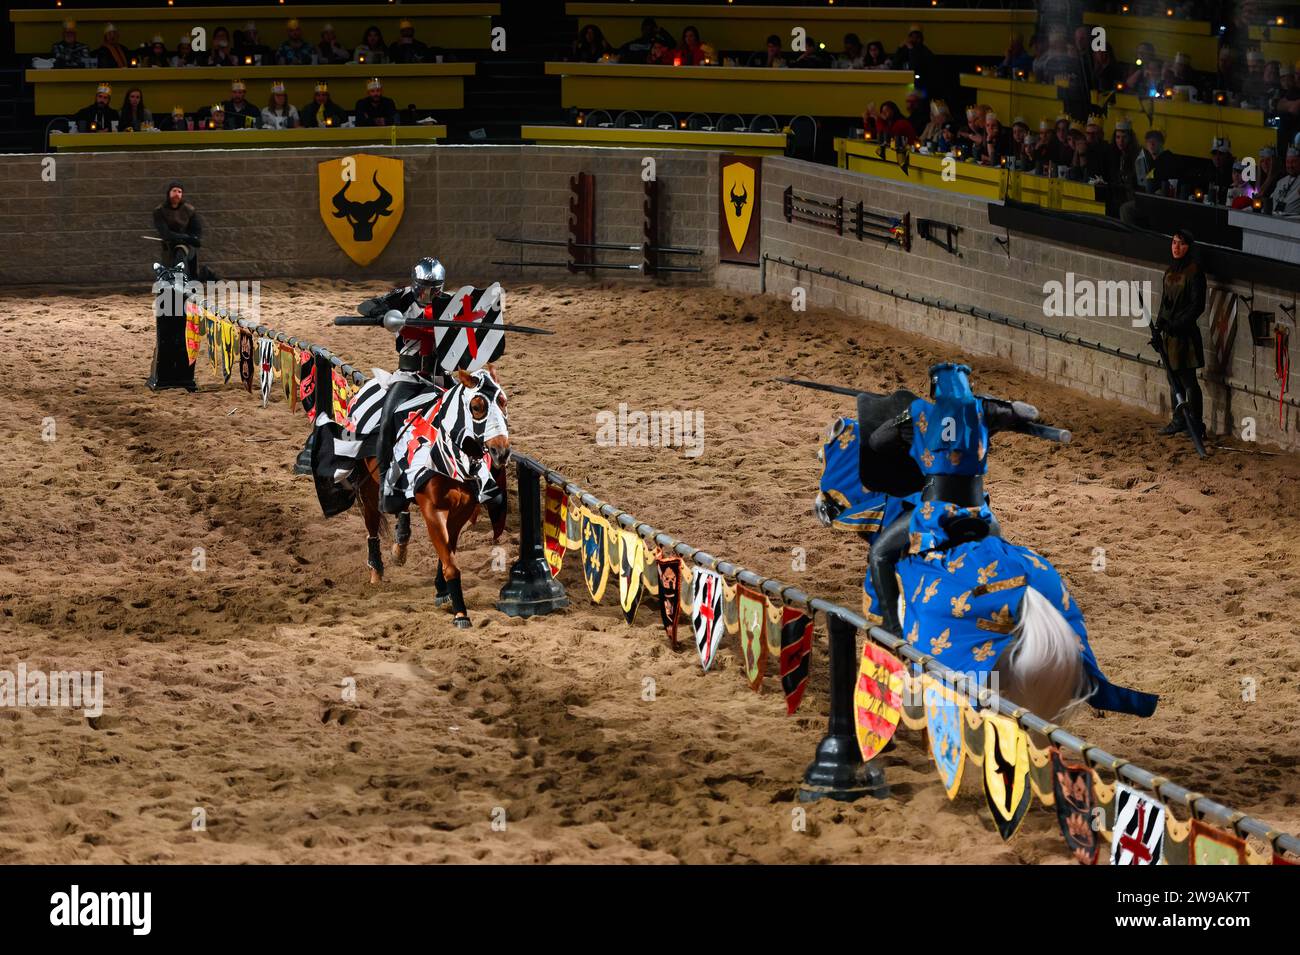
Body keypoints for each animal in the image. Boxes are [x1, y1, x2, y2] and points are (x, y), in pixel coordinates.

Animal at [353, 369, 509, 631]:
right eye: (477, 407)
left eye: (503, 402)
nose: (501, 451)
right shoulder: (432, 509)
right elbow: (451, 564)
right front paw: (460, 613)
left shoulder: (462, 509)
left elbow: (447, 552)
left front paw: (442, 590)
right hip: (369, 487)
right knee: (372, 523)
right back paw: (376, 569)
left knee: (402, 510)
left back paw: (400, 546)